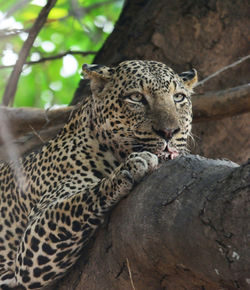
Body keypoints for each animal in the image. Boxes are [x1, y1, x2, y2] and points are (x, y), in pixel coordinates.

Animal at [0, 60, 197, 288]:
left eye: (178, 97)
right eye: (136, 97)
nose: (169, 132)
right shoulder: (30, 247)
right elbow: (81, 199)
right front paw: (130, 167)